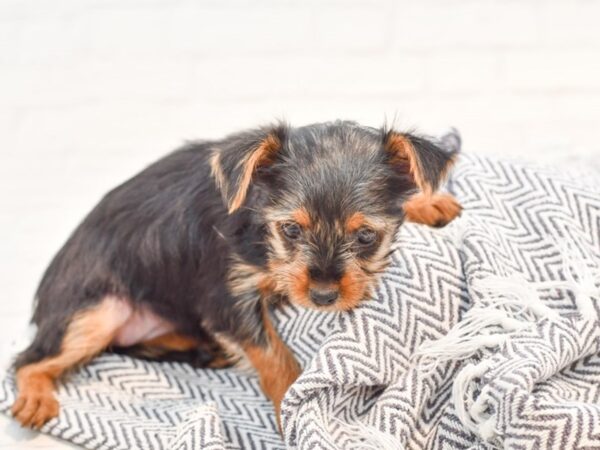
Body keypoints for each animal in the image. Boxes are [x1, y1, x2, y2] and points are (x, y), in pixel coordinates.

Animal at [9, 119, 462, 428]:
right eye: (291, 229)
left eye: (366, 235)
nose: (322, 296)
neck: (260, 225)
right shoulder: (226, 296)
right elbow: (275, 357)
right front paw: (289, 409)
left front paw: (429, 200)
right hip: (94, 312)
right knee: (28, 361)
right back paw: (36, 398)